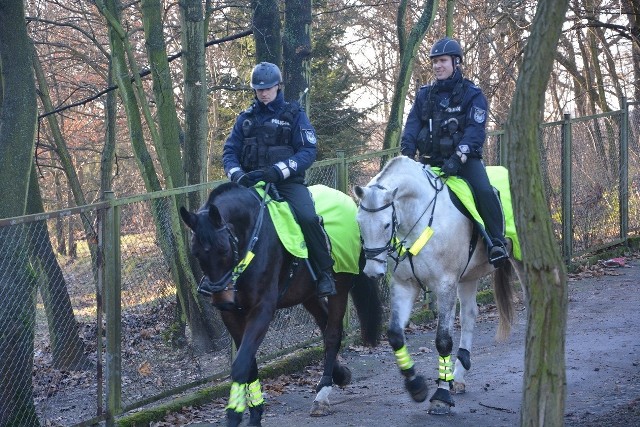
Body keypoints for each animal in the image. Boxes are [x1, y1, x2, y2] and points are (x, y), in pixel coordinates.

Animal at [179, 182, 380, 426]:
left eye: (224, 249)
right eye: (196, 253)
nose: (221, 299)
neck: (251, 239)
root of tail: (347, 200)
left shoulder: (262, 310)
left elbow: (241, 365)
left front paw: (235, 414)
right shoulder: (232, 315)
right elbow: (249, 364)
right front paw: (255, 413)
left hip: (340, 286)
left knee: (332, 333)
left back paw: (323, 393)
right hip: (308, 295)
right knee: (325, 325)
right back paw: (340, 375)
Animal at [356, 156, 524, 414]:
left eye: (386, 225)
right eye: (359, 223)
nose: (372, 271)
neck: (418, 219)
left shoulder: (445, 285)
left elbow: (443, 341)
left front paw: (441, 396)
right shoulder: (405, 285)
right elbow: (395, 334)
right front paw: (416, 386)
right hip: (468, 277)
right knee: (469, 315)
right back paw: (460, 374)